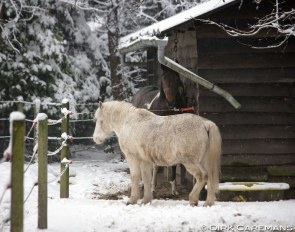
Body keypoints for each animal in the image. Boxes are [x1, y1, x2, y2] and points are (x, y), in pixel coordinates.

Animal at [94, 100, 222, 206]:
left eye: (100, 120)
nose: (95, 138)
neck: (128, 122)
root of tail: (205, 124)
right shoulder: (145, 161)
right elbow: (146, 178)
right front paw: (146, 200)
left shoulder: (132, 158)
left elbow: (135, 177)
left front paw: (132, 200)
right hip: (203, 161)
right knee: (210, 177)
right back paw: (208, 202)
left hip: (190, 162)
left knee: (202, 176)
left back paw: (193, 200)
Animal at [132, 65, 194, 196]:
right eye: (164, 78)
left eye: (177, 78)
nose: (170, 102)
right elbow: (155, 164)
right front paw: (153, 188)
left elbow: (174, 163)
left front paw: (174, 189)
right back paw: (142, 183)